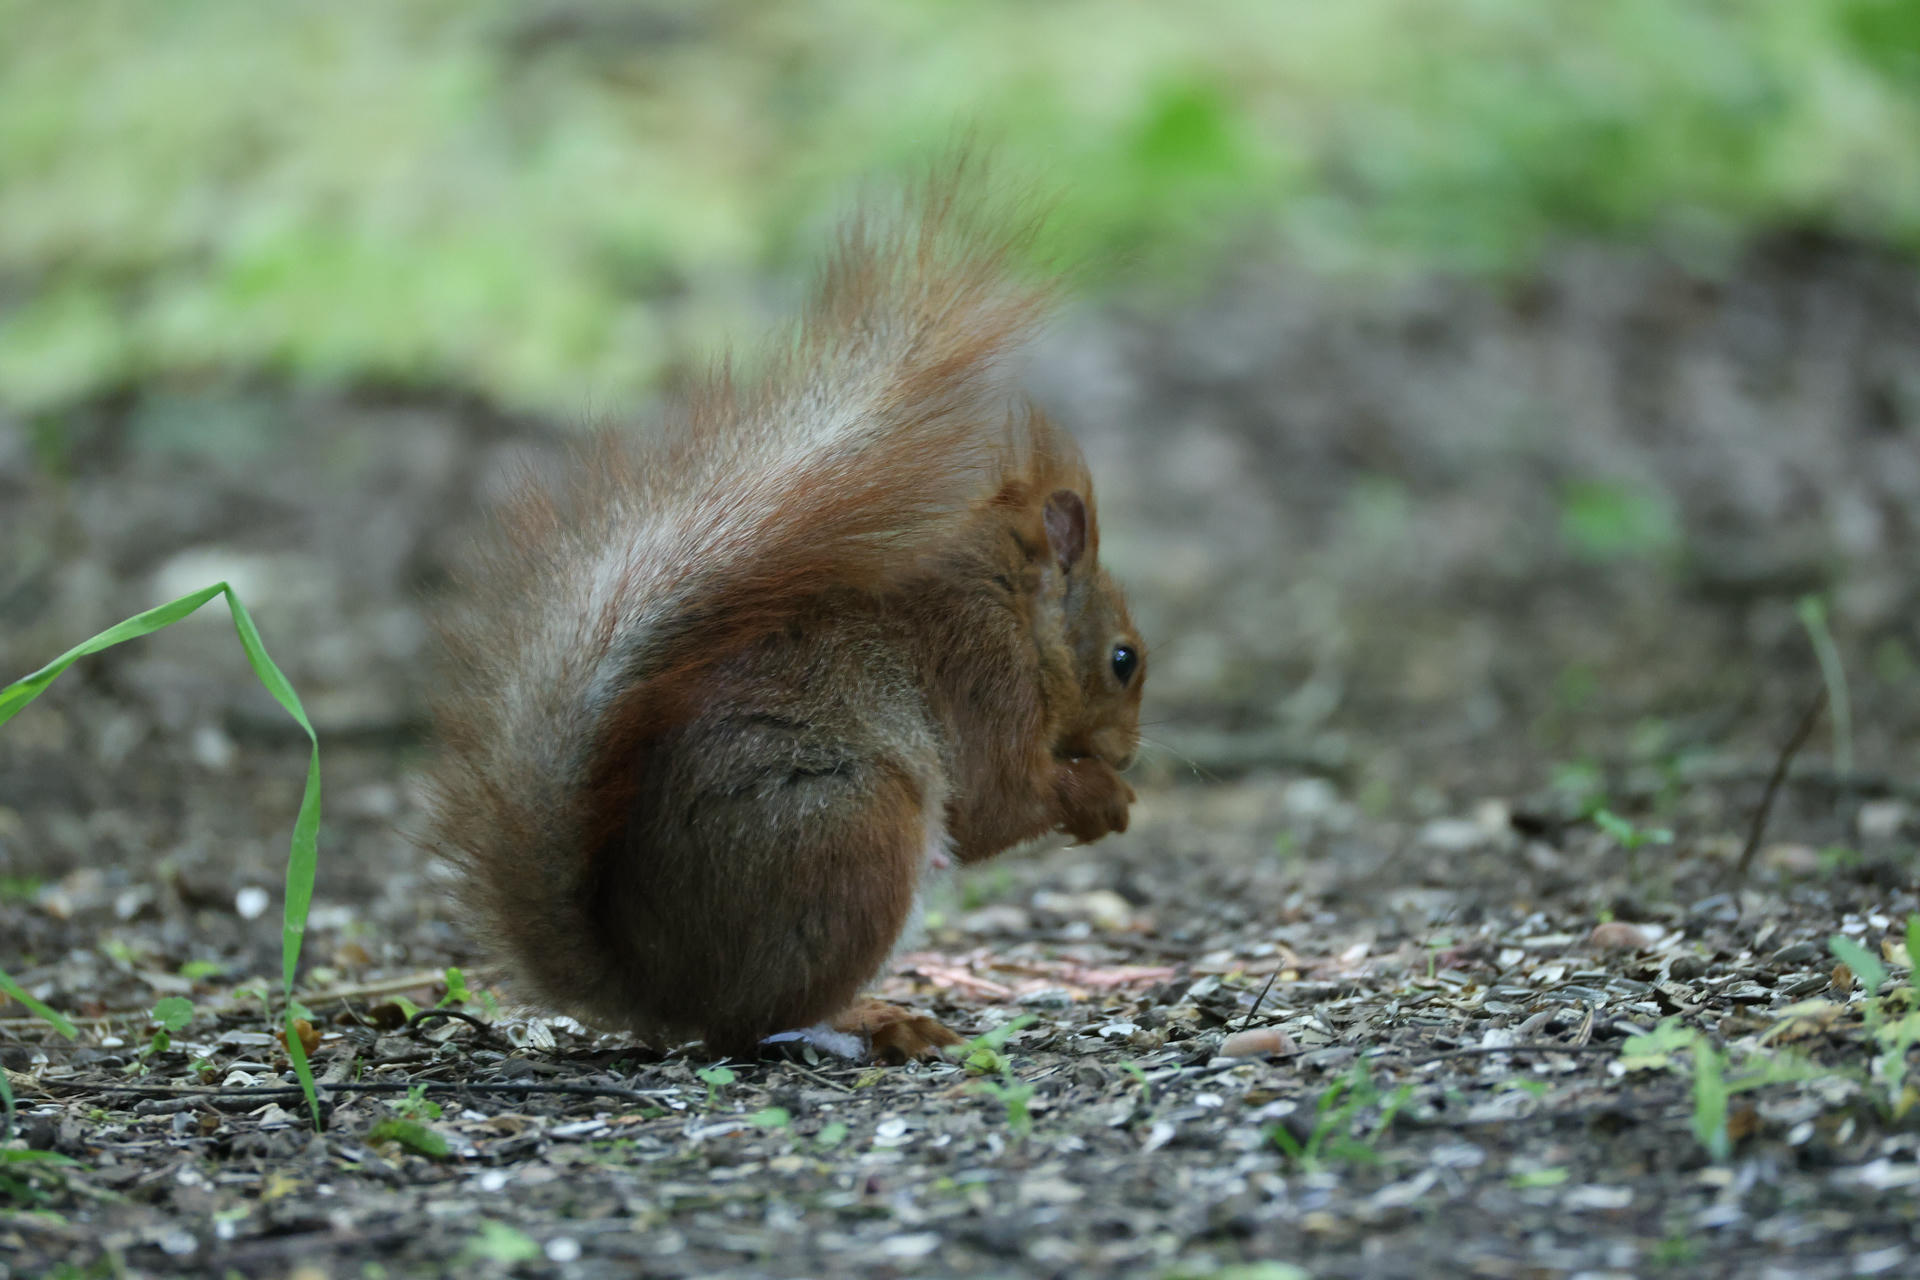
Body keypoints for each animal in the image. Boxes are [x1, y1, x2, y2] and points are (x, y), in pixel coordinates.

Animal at [422, 172, 1144, 1064]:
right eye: (1124, 660)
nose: (1129, 751)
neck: (1010, 608)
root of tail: (660, 991)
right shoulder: (986, 680)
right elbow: (997, 802)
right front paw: (1103, 796)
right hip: (854, 836)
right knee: (759, 1020)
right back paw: (871, 1021)